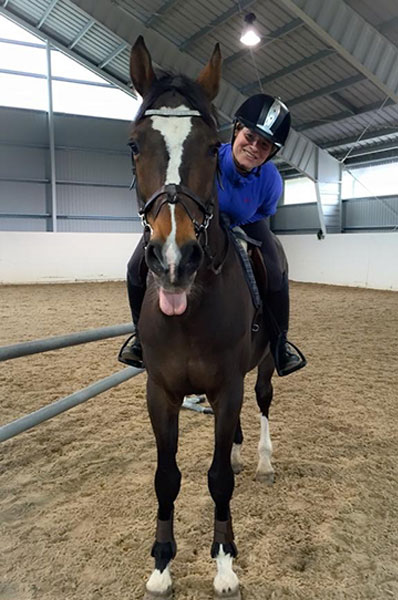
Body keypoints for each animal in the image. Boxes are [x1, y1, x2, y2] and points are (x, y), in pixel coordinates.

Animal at [129, 37, 278, 600]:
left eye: (213, 148)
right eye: (134, 145)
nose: (174, 259)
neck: (189, 309)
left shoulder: (229, 385)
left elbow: (218, 480)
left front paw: (224, 562)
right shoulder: (161, 392)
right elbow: (166, 477)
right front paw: (161, 564)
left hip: (263, 366)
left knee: (263, 401)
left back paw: (262, 459)